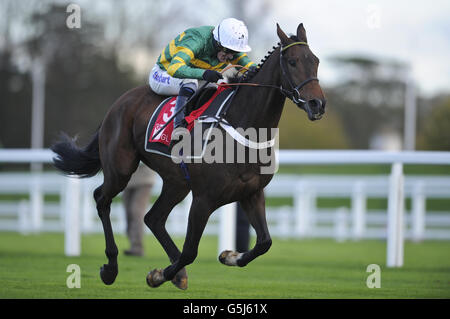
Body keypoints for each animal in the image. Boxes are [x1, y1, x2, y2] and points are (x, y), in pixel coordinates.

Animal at [51, 23, 326, 292]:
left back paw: (176, 274)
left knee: (153, 218)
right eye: (292, 61)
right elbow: (190, 251)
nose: (317, 104)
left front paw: (228, 256)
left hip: (177, 183)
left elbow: (264, 242)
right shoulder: (203, 198)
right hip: (121, 168)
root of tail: (119, 102)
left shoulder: (252, 193)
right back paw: (111, 268)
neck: (243, 126)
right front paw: (157, 275)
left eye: (315, 60)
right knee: (102, 199)